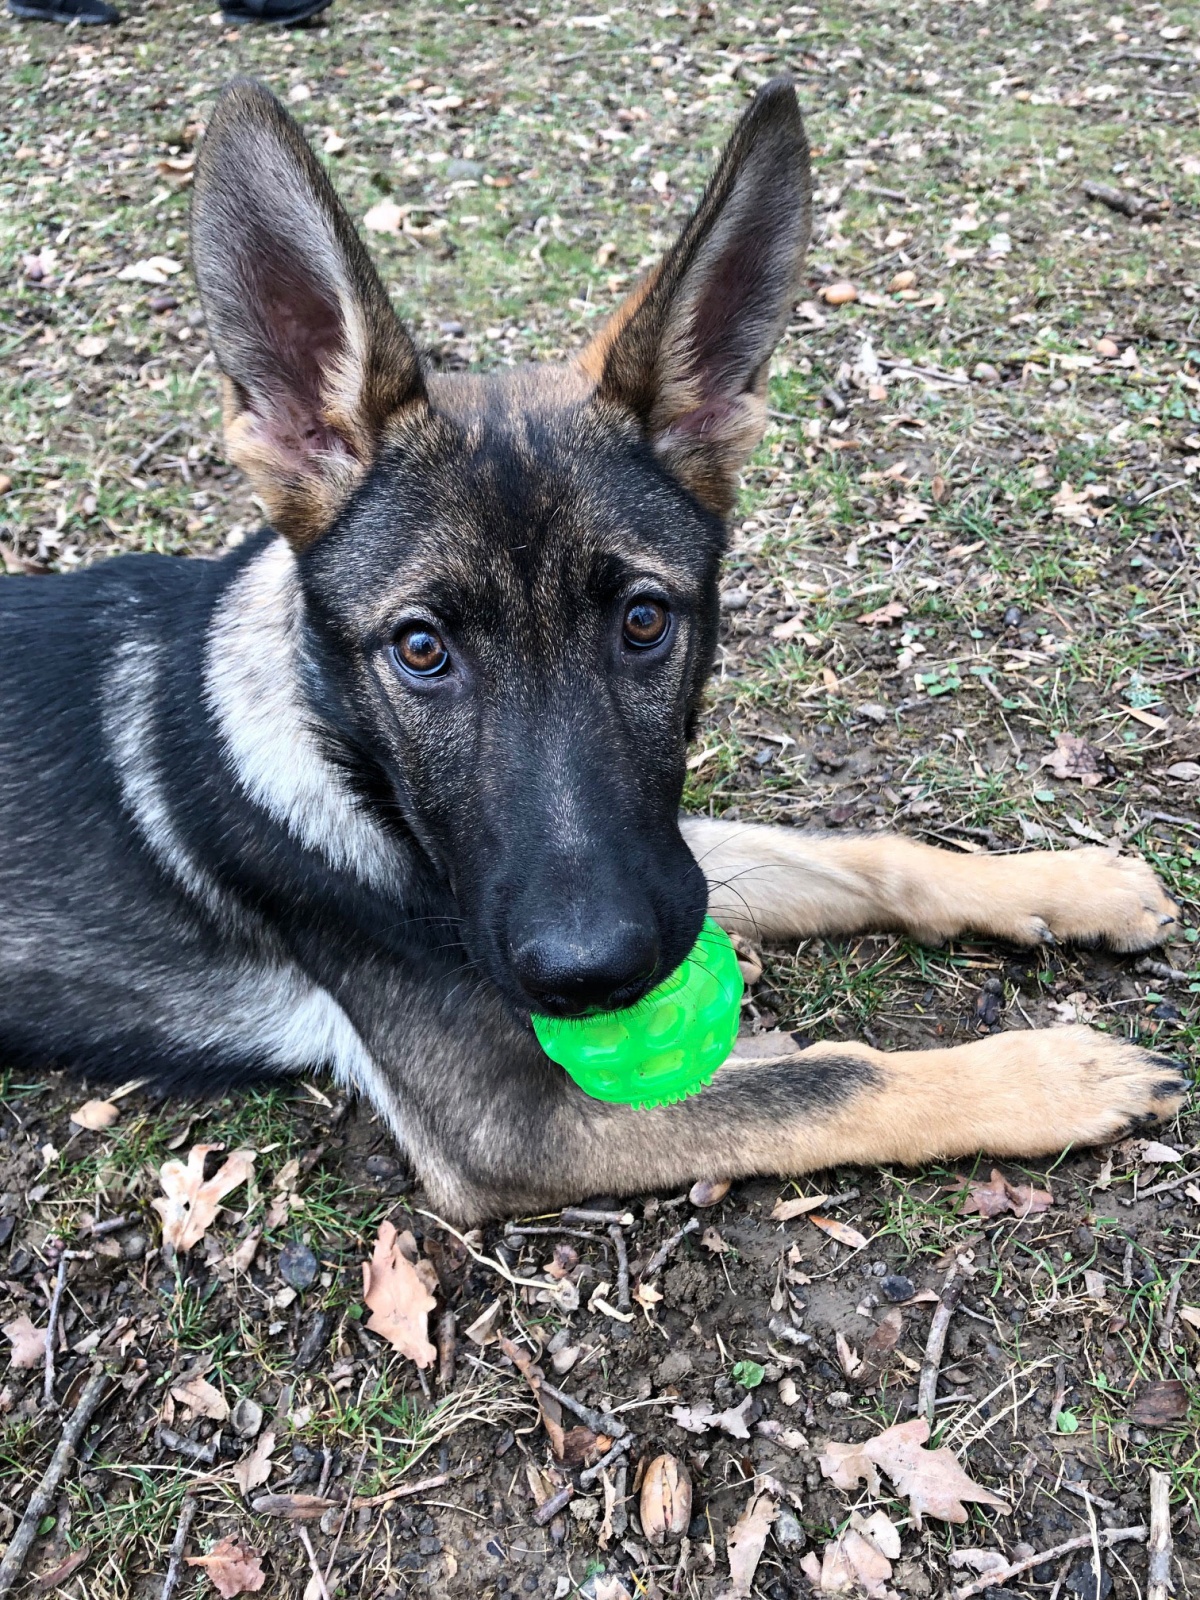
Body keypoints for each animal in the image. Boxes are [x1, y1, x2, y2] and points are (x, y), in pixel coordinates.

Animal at [0, 78, 1184, 1222]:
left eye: (644, 621)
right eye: (420, 648)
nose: (596, 975)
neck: (338, 748)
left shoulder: (658, 852)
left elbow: (862, 857)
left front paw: (1070, 884)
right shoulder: (517, 1124)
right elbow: (825, 1079)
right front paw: (1054, 1074)